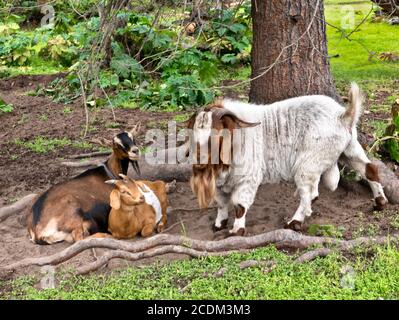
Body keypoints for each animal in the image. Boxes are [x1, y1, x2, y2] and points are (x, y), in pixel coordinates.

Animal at [189, 84, 390, 236]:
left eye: (216, 134)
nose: (198, 162)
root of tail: (343, 116)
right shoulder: (221, 182)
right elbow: (221, 203)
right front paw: (219, 224)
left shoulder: (248, 177)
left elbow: (239, 205)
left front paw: (236, 231)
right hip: (349, 150)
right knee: (369, 169)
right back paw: (380, 202)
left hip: (308, 164)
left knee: (309, 194)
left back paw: (293, 223)